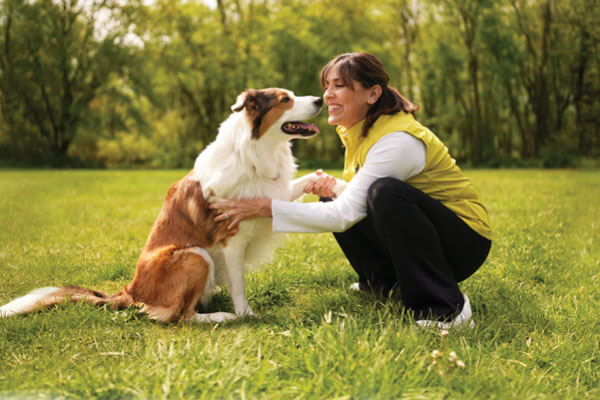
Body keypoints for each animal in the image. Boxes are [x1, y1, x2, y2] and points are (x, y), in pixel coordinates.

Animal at [0, 87, 344, 322]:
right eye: (286, 100)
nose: (320, 100)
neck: (254, 152)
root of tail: (131, 290)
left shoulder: (272, 193)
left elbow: (301, 184)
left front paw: (336, 183)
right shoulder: (231, 239)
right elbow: (239, 285)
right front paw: (246, 314)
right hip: (196, 255)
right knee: (180, 316)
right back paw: (221, 317)